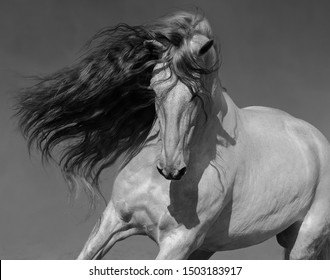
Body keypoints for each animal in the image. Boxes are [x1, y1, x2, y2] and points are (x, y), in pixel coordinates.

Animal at [15, 10, 330, 260]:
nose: (171, 168)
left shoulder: (177, 244)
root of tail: (316, 140)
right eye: (153, 87)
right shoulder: (113, 220)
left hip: (304, 241)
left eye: (196, 94)